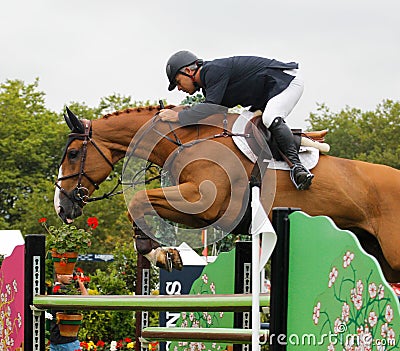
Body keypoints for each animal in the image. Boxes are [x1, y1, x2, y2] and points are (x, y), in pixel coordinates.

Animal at [54, 105, 400, 284]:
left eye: (73, 154)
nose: (62, 207)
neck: (188, 141)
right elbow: (142, 204)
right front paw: (163, 253)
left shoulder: (203, 205)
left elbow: (139, 201)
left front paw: (159, 253)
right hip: (378, 253)